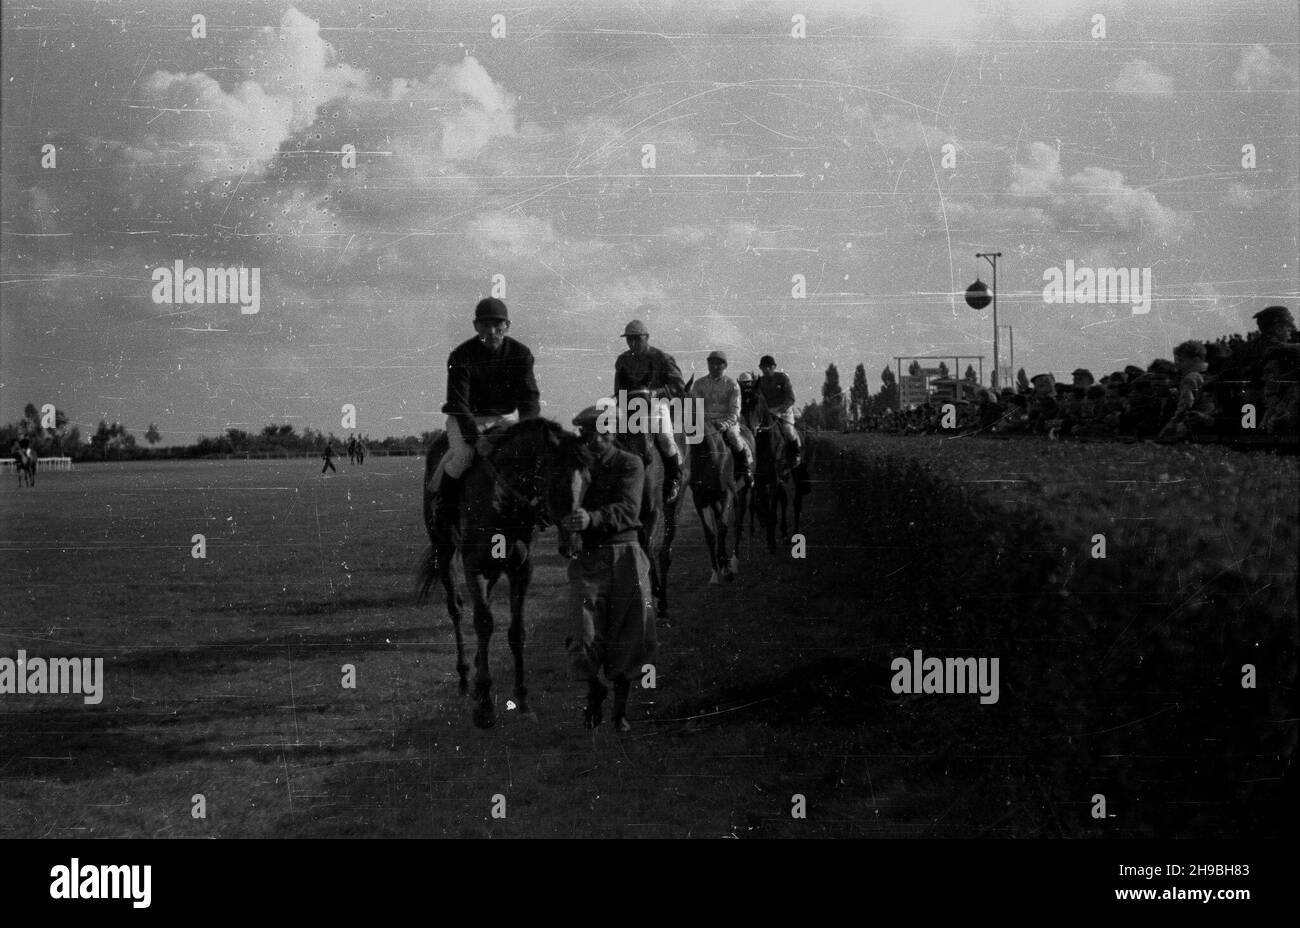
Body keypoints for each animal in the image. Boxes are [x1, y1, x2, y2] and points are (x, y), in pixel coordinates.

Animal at [418, 415, 592, 727]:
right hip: (444, 551)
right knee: (457, 609)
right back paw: (465, 676)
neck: (502, 500)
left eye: (587, 483)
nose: (573, 544)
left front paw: (522, 698)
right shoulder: (473, 565)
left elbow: (516, 630)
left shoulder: (521, 569)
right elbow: (484, 622)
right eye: (557, 483)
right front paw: (485, 706)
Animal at [686, 423, 759, 582]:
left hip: (742, 491)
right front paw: (715, 573)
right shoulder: (700, 500)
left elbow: (722, 528)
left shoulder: (727, 494)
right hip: (715, 501)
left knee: (738, 523)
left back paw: (735, 562)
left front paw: (727, 569)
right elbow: (710, 534)